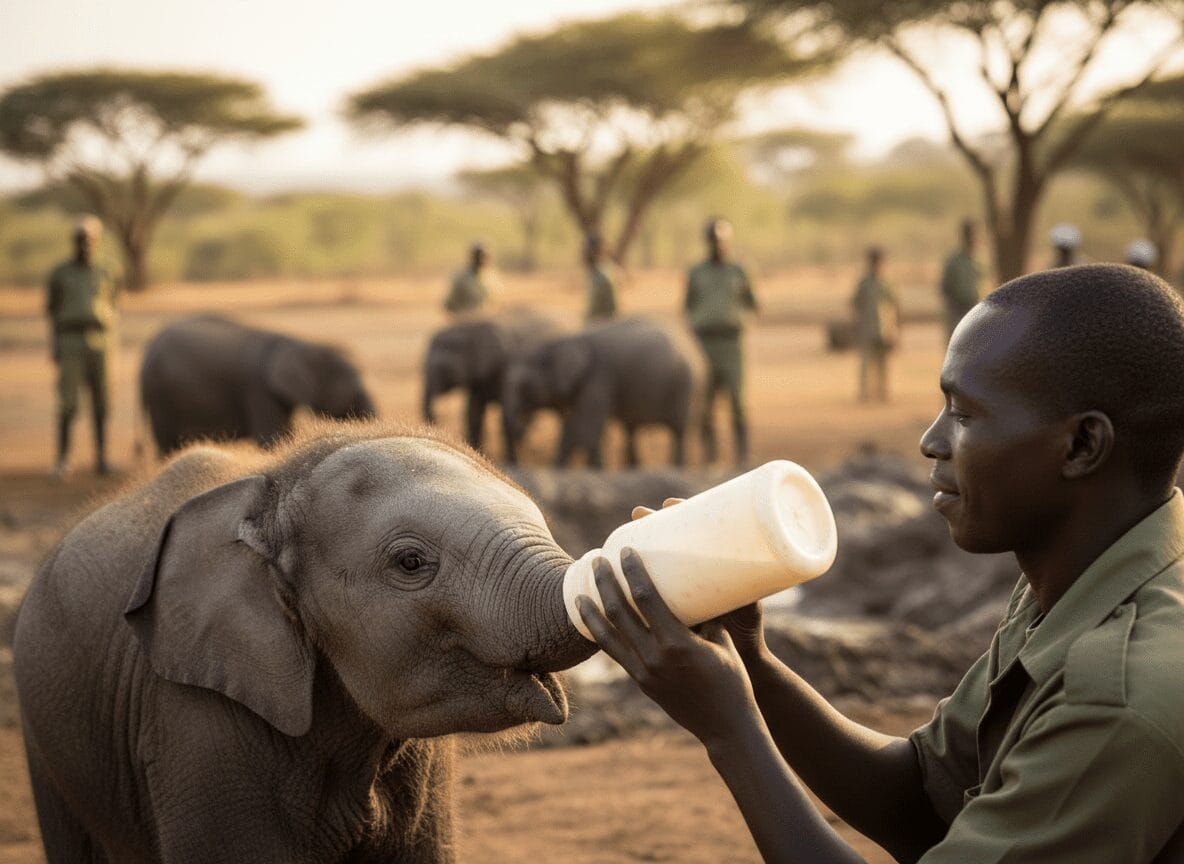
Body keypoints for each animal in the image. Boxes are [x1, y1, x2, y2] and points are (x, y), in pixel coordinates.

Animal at [422, 310, 563, 461]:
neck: (468, 327)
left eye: (444, 369)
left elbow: (503, 414)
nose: (435, 424)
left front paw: (511, 460)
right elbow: (474, 413)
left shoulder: (507, 369)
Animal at [502, 316, 707, 468]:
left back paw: (675, 467)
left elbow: (587, 428)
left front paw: (595, 470)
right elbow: (572, 427)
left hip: (686, 387)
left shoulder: (598, 378)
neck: (560, 341)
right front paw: (558, 469)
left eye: (525, 387)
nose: (522, 426)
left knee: (679, 431)